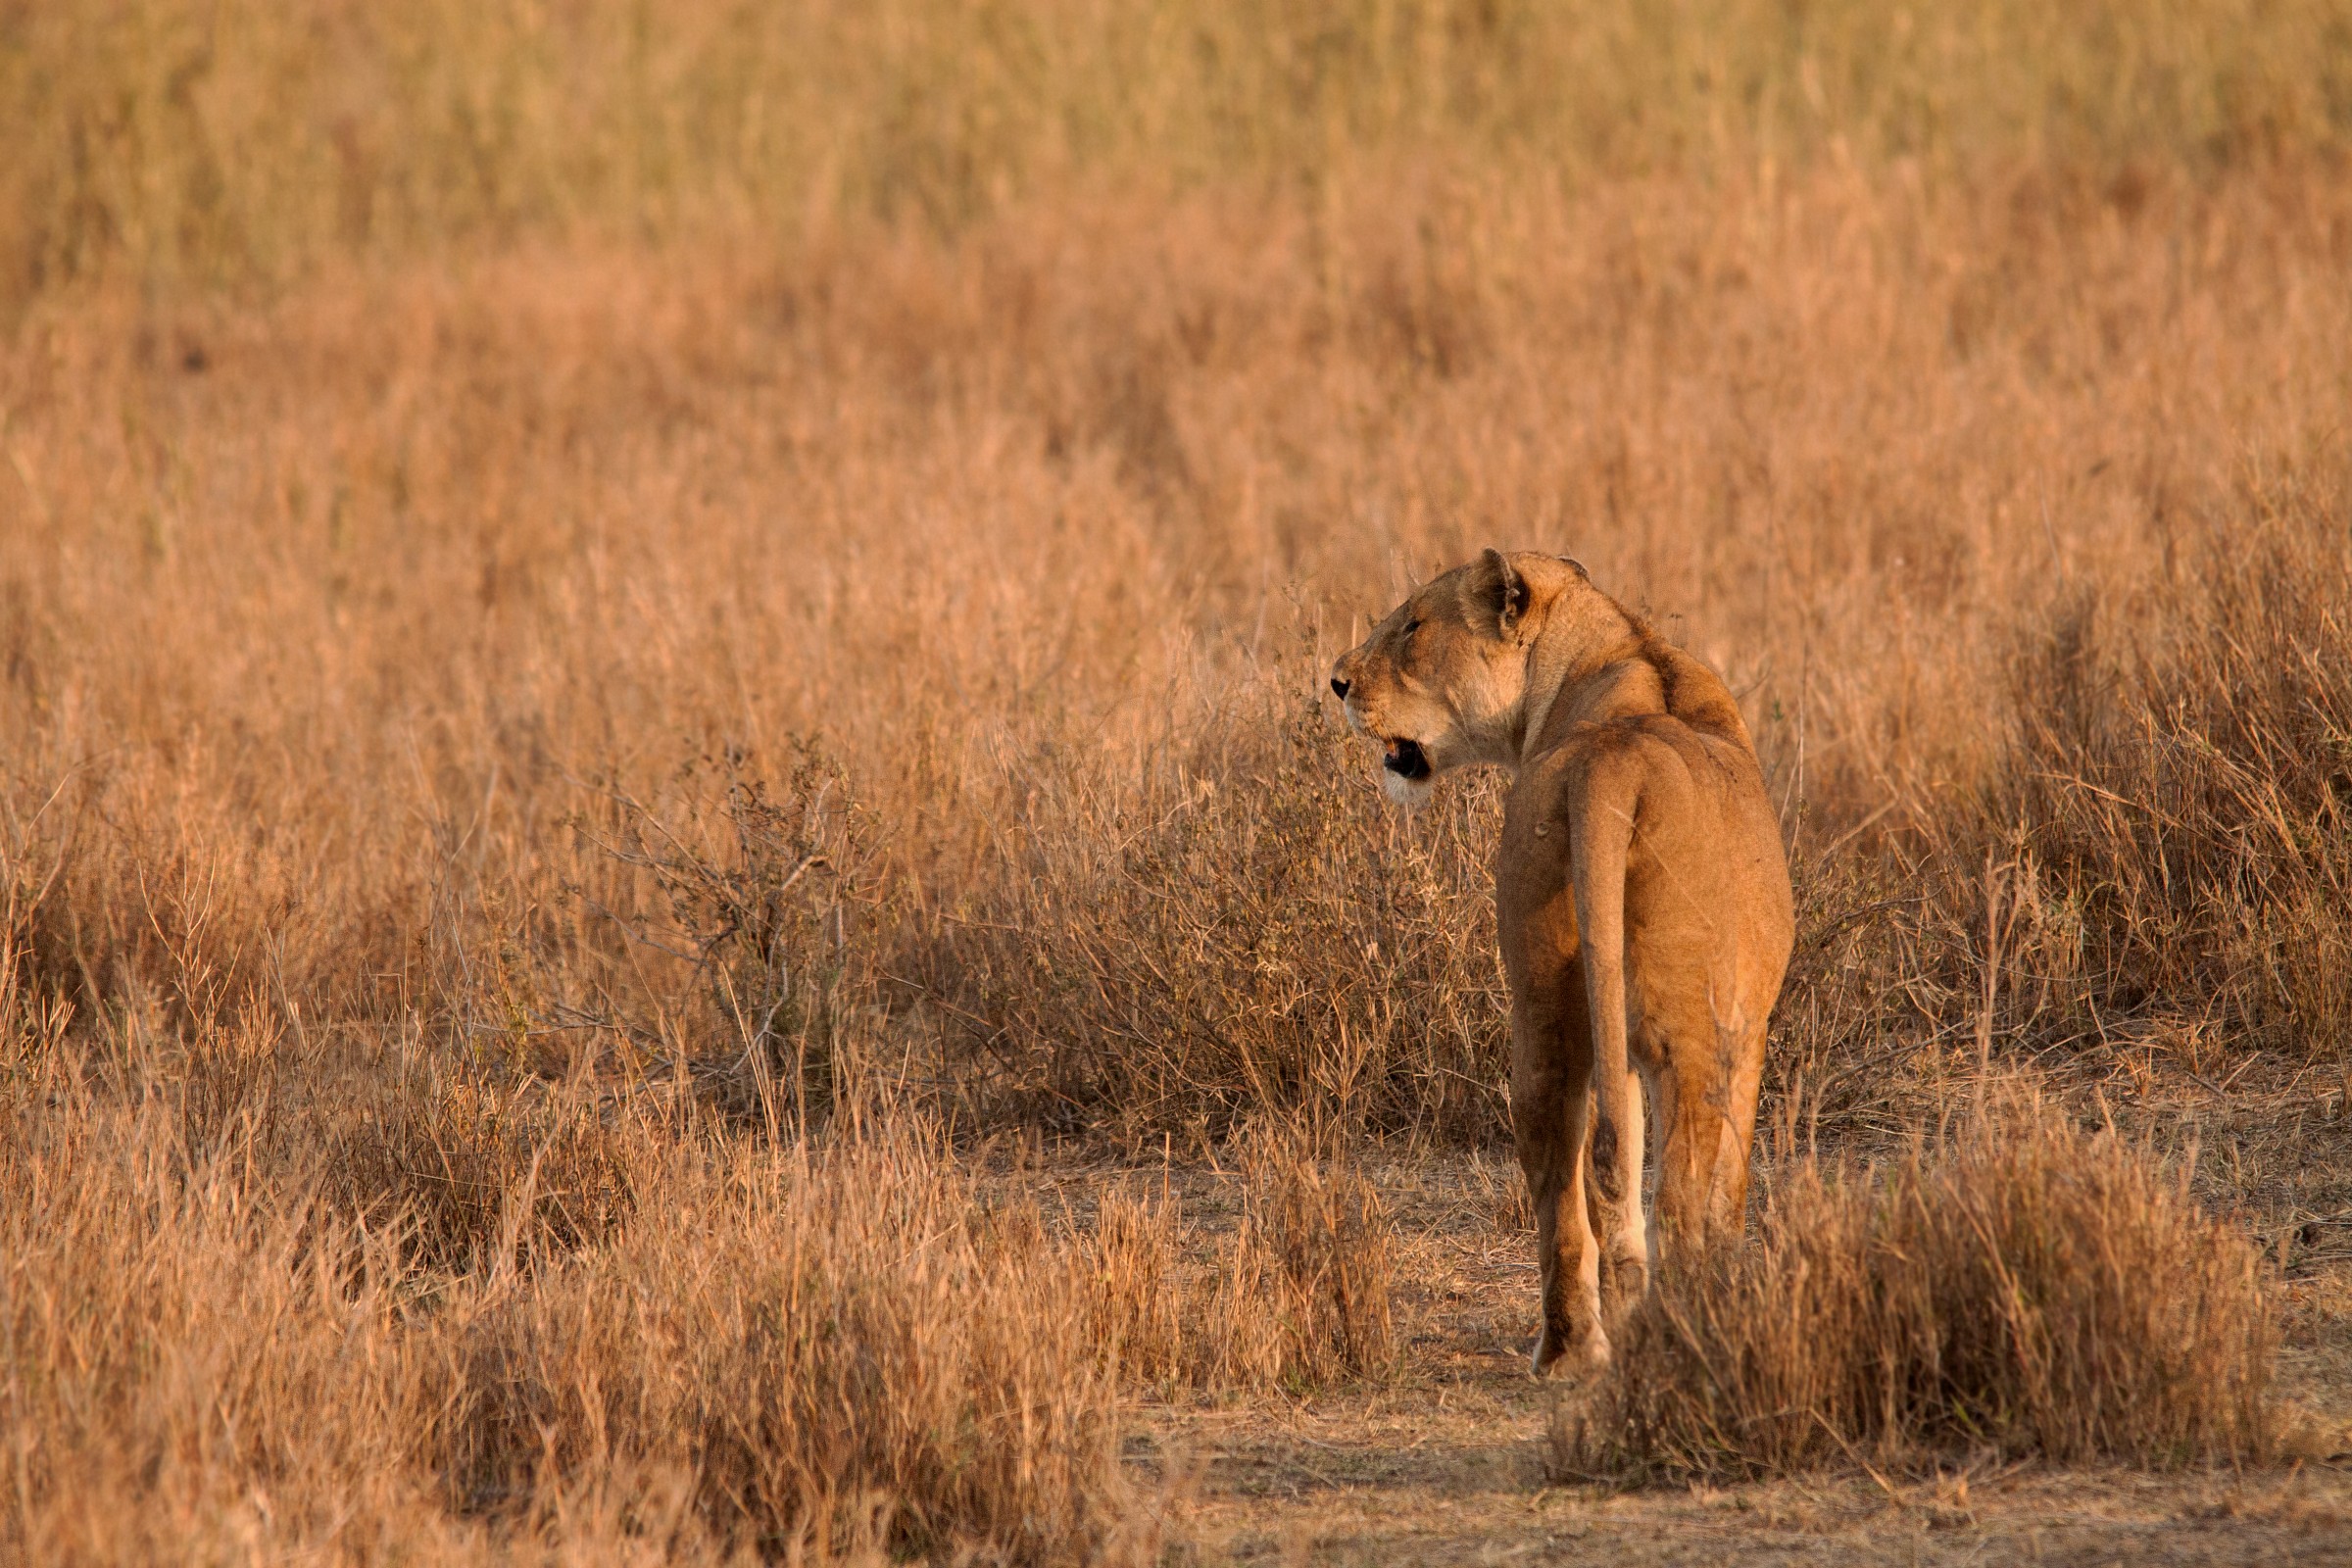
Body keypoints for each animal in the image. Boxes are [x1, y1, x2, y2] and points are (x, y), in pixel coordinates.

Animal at [1329, 549, 1793, 1374]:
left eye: (1413, 625)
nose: (1337, 682)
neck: (1615, 649)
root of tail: (1610, 765)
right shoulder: (1747, 1032)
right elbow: (1729, 1184)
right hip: (1688, 1036)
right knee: (1680, 1186)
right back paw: (1683, 1331)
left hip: (1542, 1000)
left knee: (1560, 1168)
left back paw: (1572, 1349)